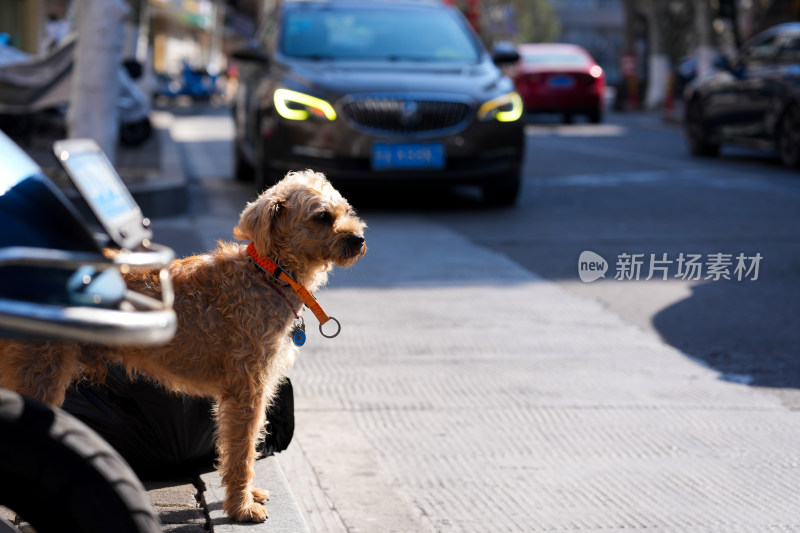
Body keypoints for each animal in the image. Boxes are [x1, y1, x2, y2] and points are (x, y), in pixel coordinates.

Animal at [0, 170, 368, 520]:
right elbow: (242, 449)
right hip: (40, 374)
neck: (268, 274)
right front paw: (241, 507)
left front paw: (248, 495)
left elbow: (243, 449)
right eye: (322, 216)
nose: (359, 239)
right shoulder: (247, 389)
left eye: (344, 210)